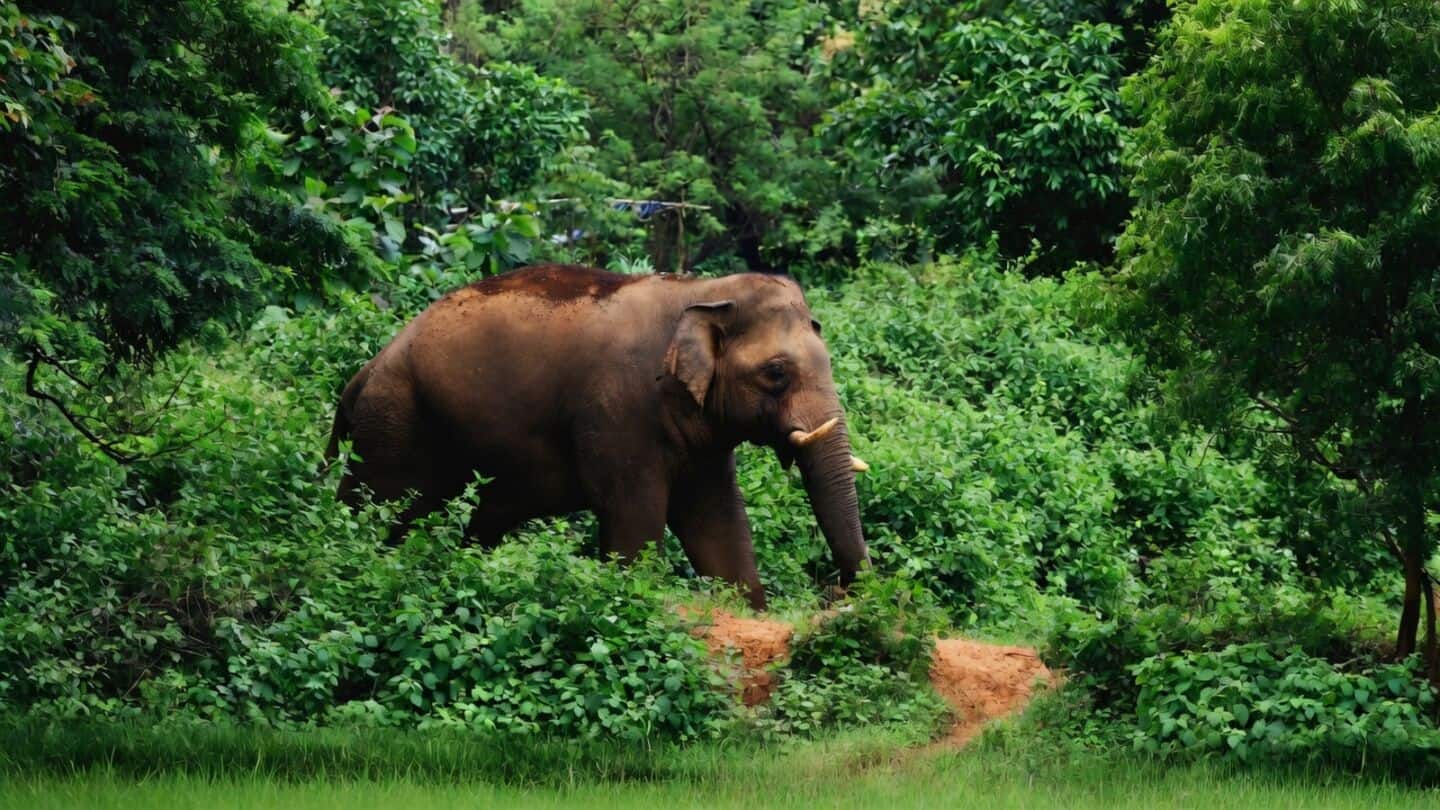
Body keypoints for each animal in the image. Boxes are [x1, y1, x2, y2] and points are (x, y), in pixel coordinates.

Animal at [325, 263, 870, 609]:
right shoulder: (618, 413)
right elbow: (635, 521)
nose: (836, 591)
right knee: (376, 509)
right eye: (776, 373)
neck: (703, 290)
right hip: (394, 424)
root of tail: (362, 373)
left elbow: (718, 523)